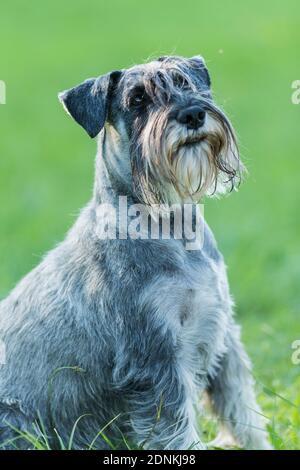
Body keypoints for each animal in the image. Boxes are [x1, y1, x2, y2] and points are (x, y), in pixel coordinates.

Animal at [0, 57, 272, 450]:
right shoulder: (154, 359)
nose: (192, 114)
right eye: (137, 100)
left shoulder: (223, 341)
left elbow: (244, 414)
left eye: (184, 82)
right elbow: (177, 431)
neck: (171, 226)